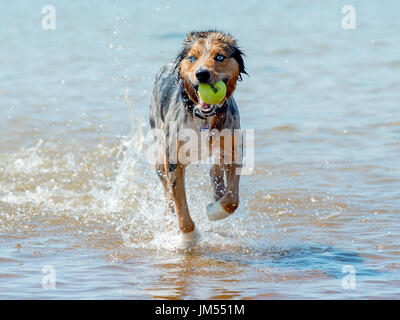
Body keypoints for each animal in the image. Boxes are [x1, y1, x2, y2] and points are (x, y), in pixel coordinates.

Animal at [148, 30, 245, 249]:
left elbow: (232, 199)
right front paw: (188, 238)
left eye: (220, 57)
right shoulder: (173, 160)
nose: (202, 74)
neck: (203, 117)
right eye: (192, 58)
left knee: (215, 168)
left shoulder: (234, 148)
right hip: (159, 152)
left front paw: (214, 210)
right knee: (168, 197)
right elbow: (180, 203)